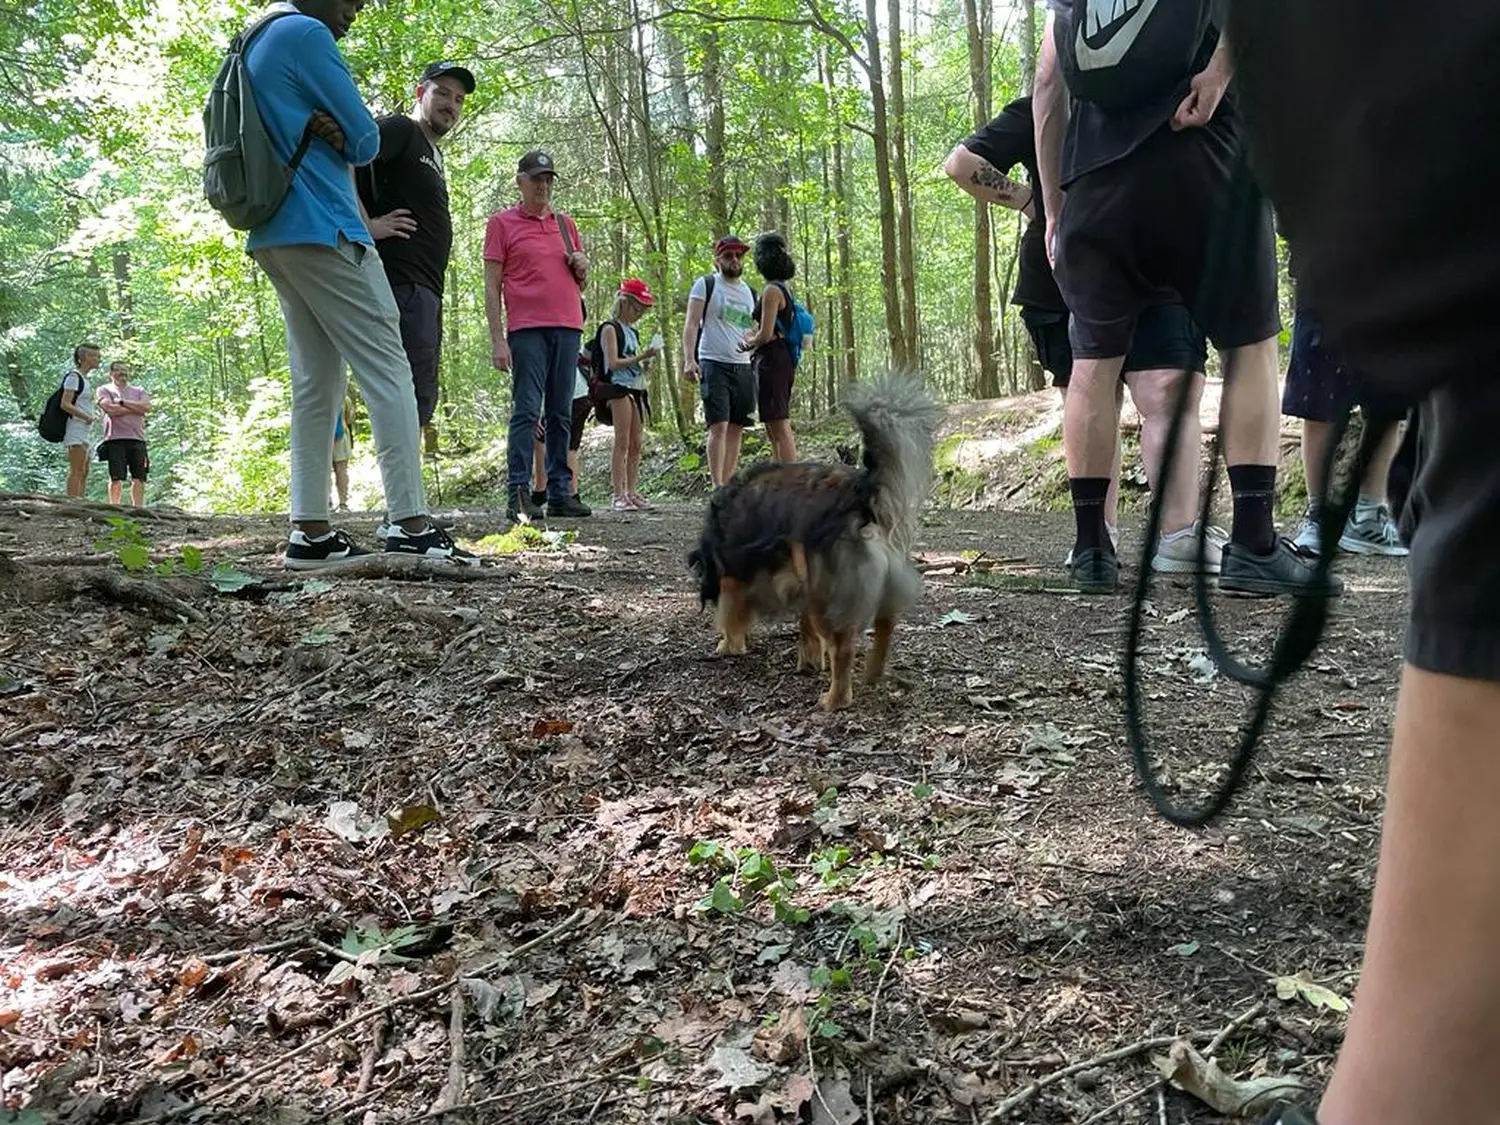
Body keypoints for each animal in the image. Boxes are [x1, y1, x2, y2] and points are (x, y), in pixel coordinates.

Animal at [687, 376, 936, 714]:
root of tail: (859, 492)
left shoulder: (734, 581)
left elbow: (731, 617)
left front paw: (728, 645)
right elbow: (805, 629)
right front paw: (809, 662)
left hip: (828, 595)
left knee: (843, 649)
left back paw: (834, 699)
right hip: (877, 583)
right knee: (886, 625)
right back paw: (873, 672)